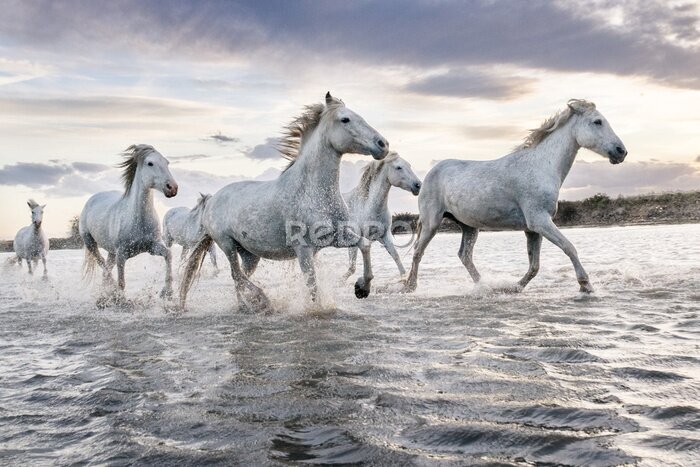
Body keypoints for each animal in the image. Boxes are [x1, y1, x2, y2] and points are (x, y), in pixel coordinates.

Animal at [79, 144, 178, 298]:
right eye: (150, 163)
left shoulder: (152, 247)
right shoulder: (121, 255)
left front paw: (167, 292)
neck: (138, 220)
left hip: (111, 252)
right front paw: (120, 297)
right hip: (90, 243)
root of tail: (92, 199)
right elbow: (122, 283)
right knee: (103, 265)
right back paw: (111, 290)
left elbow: (168, 255)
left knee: (106, 268)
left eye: (167, 162)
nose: (172, 188)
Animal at [179, 92, 389, 311]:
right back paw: (262, 300)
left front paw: (362, 288)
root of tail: (212, 200)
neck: (313, 192)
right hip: (227, 244)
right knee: (236, 274)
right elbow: (312, 284)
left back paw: (246, 306)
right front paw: (317, 309)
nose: (383, 144)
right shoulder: (303, 249)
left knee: (239, 277)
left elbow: (365, 244)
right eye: (345, 119)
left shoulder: (337, 236)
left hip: (249, 254)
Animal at [343, 151, 421, 280]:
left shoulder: (385, 236)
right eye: (398, 167)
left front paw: (404, 278)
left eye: (409, 165)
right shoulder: (355, 238)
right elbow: (351, 268)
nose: (418, 185)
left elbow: (396, 256)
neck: (367, 206)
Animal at [402, 99, 627, 294]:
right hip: (432, 222)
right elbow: (569, 248)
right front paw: (586, 285)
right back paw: (410, 287)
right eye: (597, 121)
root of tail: (429, 174)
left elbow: (534, 266)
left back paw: (484, 286)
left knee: (464, 255)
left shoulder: (533, 229)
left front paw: (514, 288)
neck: (541, 166)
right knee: (418, 252)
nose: (621, 151)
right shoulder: (540, 221)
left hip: (469, 226)